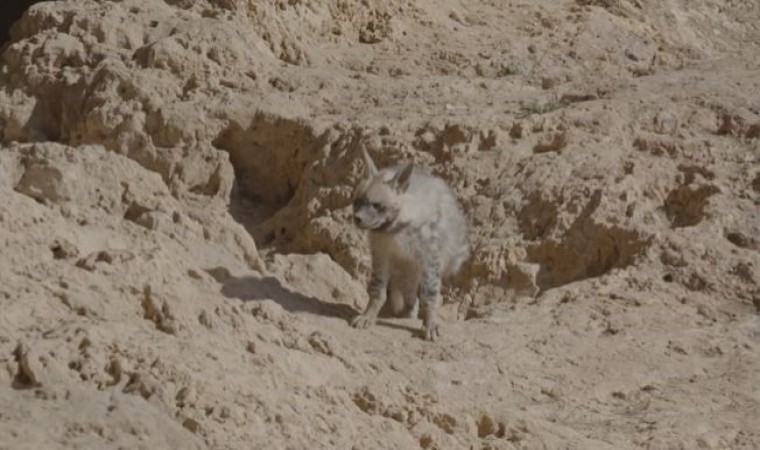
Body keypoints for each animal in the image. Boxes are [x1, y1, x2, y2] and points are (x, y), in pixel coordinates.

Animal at [350, 149, 469, 341]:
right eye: (356, 202)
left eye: (376, 205)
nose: (357, 218)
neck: (394, 231)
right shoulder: (381, 253)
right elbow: (377, 289)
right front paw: (367, 317)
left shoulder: (430, 256)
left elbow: (430, 294)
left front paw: (430, 326)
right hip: (406, 271)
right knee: (410, 295)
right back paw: (406, 314)